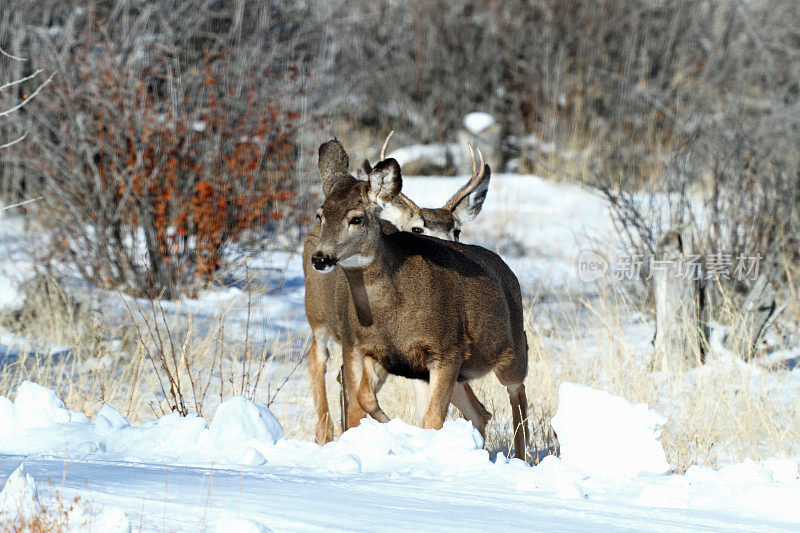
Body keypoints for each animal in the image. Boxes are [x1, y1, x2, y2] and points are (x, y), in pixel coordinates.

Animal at [310, 139, 528, 460]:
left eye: (356, 218)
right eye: (320, 215)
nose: (320, 258)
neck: (393, 311)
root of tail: (507, 270)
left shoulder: (447, 350)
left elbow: (433, 419)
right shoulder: (374, 351)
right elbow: (363, 398)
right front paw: (392, 428)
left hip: (514, 350)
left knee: (518, 398)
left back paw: (521, 459)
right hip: (460, 374)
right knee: (481, 413)